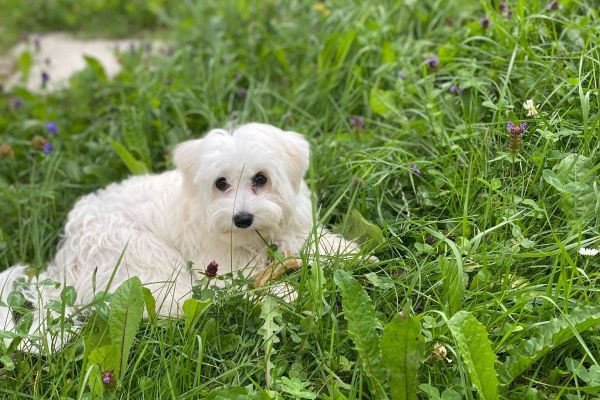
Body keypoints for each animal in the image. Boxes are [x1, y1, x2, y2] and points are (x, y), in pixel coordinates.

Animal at [0, 122, 364, 346]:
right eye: (221, 183)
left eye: (261, 179)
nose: (242, 218)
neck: (255, 236)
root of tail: (63, 263)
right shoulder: (221, 267)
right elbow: (239, 284)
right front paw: (282, 292)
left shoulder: (292, 228)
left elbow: (311, 240)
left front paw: (349, 250)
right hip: (144, 256)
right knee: (181, 302)